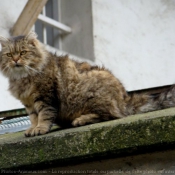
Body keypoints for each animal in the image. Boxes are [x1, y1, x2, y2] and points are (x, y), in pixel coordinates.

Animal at [0, 31, 175, 137]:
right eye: (9, 55)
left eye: (23, 52)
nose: (15, 60)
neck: (22, 79)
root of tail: (124, 98)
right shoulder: (29, 104)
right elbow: (33, 118)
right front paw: (32, 128)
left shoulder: (45, 98)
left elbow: (44, 116)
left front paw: (40, 129)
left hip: (91, 95)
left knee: (111, 115)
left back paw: (81, 120)